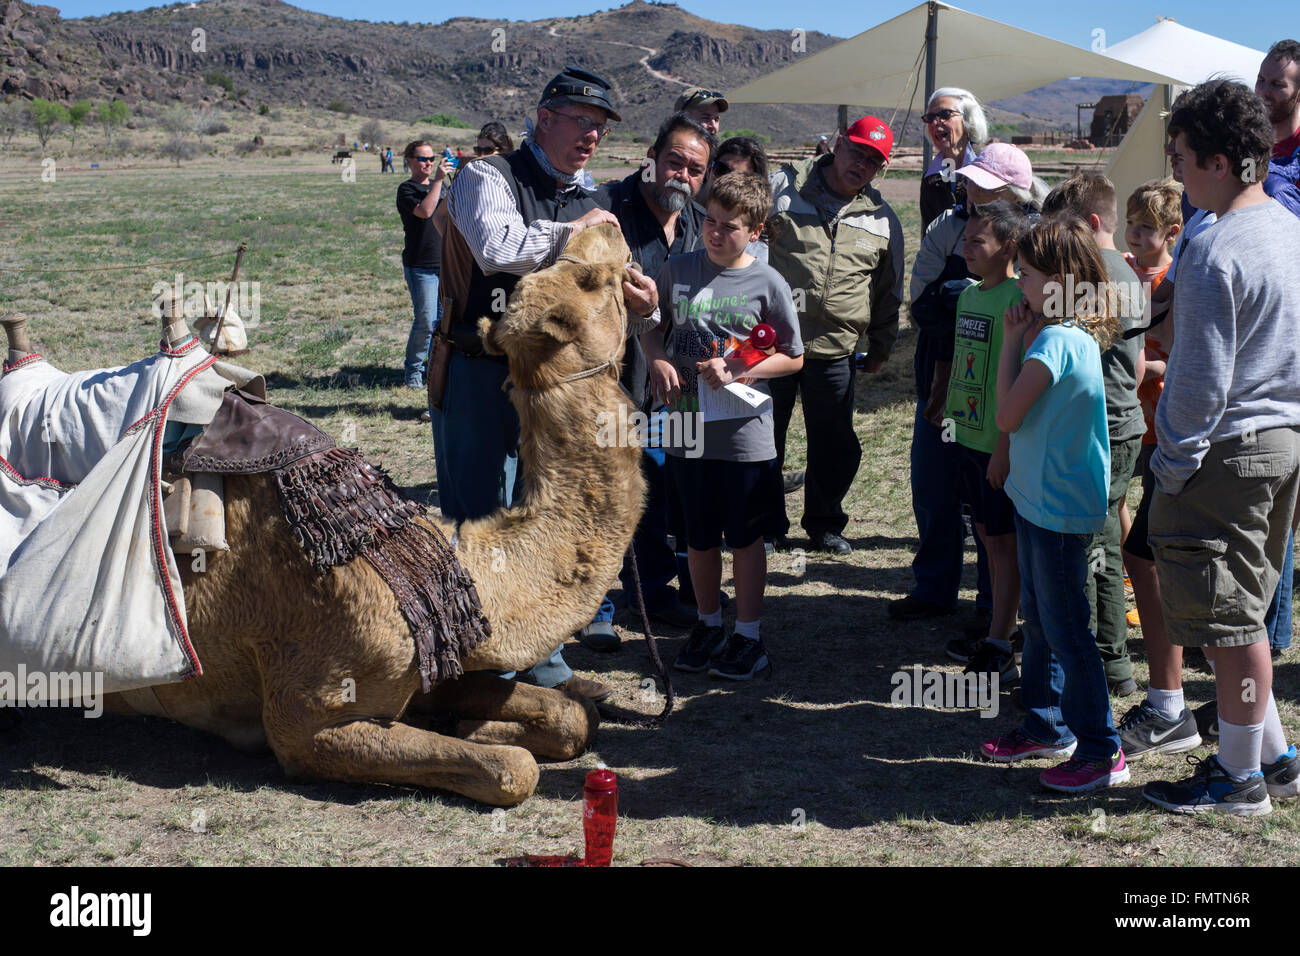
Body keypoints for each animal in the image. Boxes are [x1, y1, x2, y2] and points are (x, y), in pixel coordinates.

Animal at [4, 223, 646, 807]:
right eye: (591, 279)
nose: (609, 223)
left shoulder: (427, 667)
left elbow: (573, 718)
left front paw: (479, 723)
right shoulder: (306, 722)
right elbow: (515, 770)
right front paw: (486, 738)